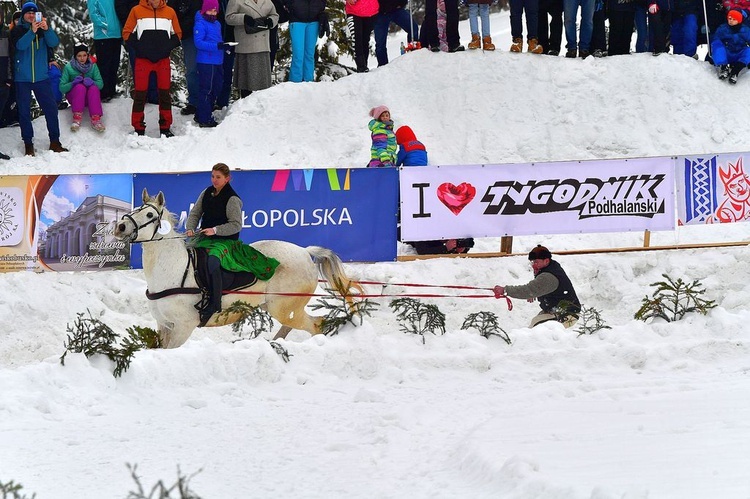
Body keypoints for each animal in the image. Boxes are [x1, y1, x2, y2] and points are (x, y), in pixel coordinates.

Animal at [114, 188, 364, 348]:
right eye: (135, 209)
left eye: (149, 214)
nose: (120, 226)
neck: (174, 269)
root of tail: (304, 252)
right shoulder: (164, 325)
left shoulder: (183, 327)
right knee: (290, 328)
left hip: (285, 308)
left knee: (316, 326)